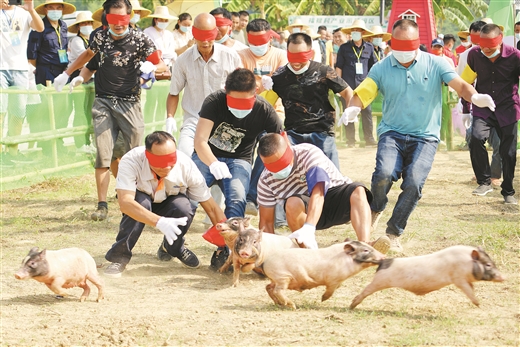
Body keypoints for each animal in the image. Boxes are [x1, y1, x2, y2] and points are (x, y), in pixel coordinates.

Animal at [350, 245, 504, 310]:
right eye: (488, 264)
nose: (503, 277)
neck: (467, 262)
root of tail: (384, 262)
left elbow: (472, 288)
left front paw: (479, 304)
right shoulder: (458, 278)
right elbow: (468, 290)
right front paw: (479, 304)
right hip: (379, 281)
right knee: (365, 291)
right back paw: (352, 306)